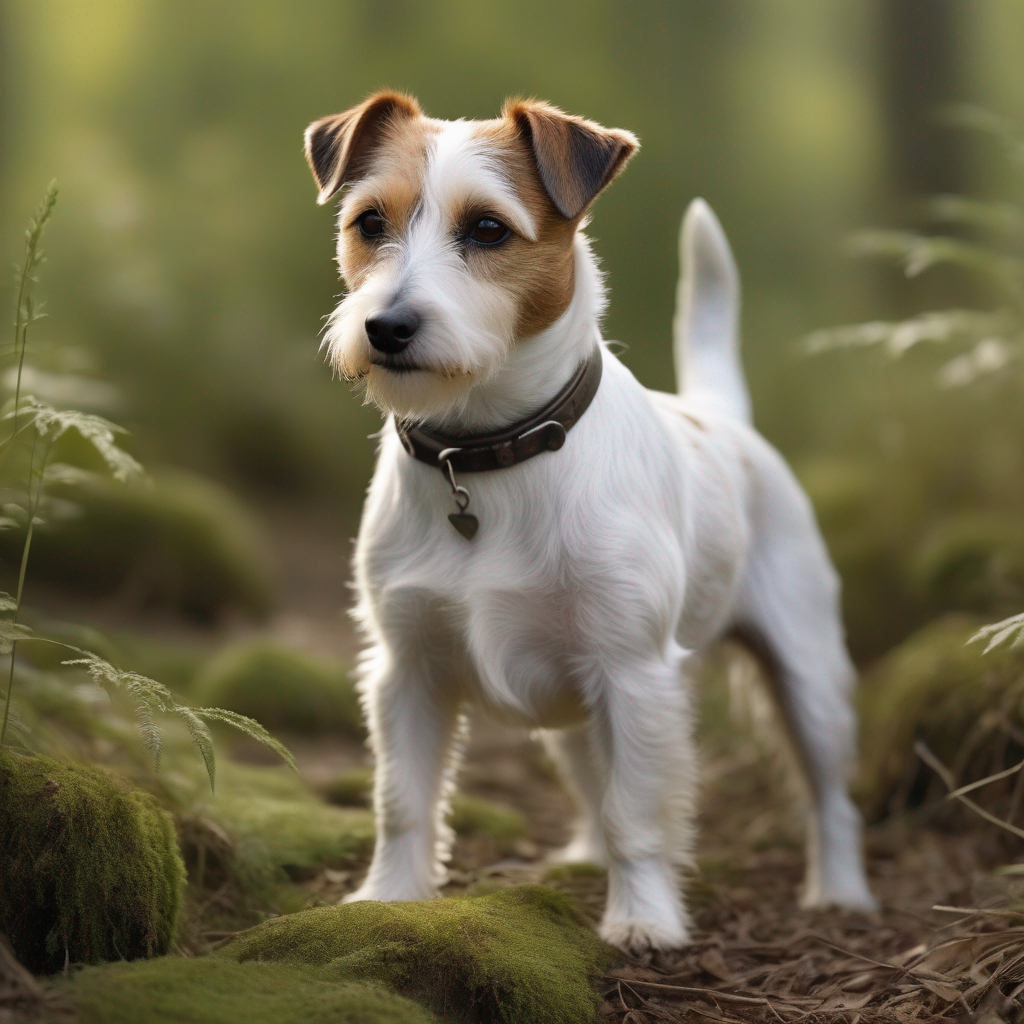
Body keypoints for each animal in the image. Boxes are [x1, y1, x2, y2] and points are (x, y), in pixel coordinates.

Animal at [299, 92, 876, 946]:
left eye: (487, 229)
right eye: (369, 222)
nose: (387, 327)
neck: (487, 456)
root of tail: (721, 417)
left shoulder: (630, 673)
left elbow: (637, 812)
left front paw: (643, 921)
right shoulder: (408, 671)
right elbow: (403, 802)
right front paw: (390, 898)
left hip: (808, 677)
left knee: (829, 794)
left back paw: (839, 890)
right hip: (571, 714)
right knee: (590, 782)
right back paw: (582, 858)